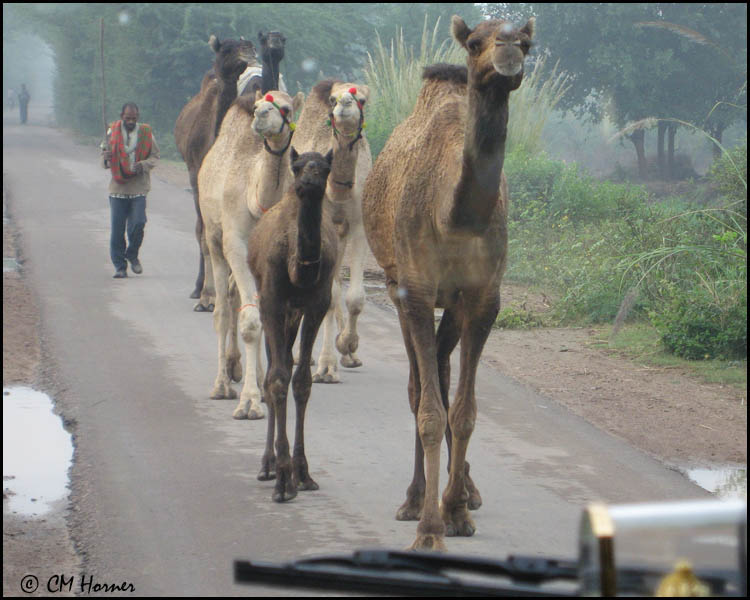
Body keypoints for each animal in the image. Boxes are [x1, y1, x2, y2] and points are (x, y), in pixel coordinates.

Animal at [174, 35, 258, 312]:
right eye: (227, 48)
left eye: (248, 43)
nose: (250, 51)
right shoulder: (196, 179)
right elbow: (203, 234)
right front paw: (207, 296)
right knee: (201, 230)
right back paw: (198, 288)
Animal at [201, 89, 306, 420]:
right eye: (261, 105)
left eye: (285, 109)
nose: (260, 115)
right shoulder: (235, 242)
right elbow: (249, 320)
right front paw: (247, 403)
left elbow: (265, 316)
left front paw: (259, 390)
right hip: (213, 236)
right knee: (223, 310)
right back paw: (221, 385)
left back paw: (256, 379)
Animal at [296, 79, 374, 382]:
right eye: (332, 99)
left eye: (362, 99)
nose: (344, 103)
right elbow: (327, 296)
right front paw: (326, 366)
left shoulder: (359, 225)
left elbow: (354, 297)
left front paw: (348, 345)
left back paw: (348, 355)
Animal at [362, 14, 536, 552]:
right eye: (476, 41)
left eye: (528, 43)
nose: (507, 51)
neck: (454, 218)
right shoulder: (414, 291)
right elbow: (430, 411)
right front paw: (429, 529)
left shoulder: (482, 300)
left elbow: (464, 411)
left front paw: (457, 510)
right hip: (396, 284)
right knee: (420, 385)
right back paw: (415, 497)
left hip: (451, 305)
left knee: (440, 368)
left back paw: (463, 491)